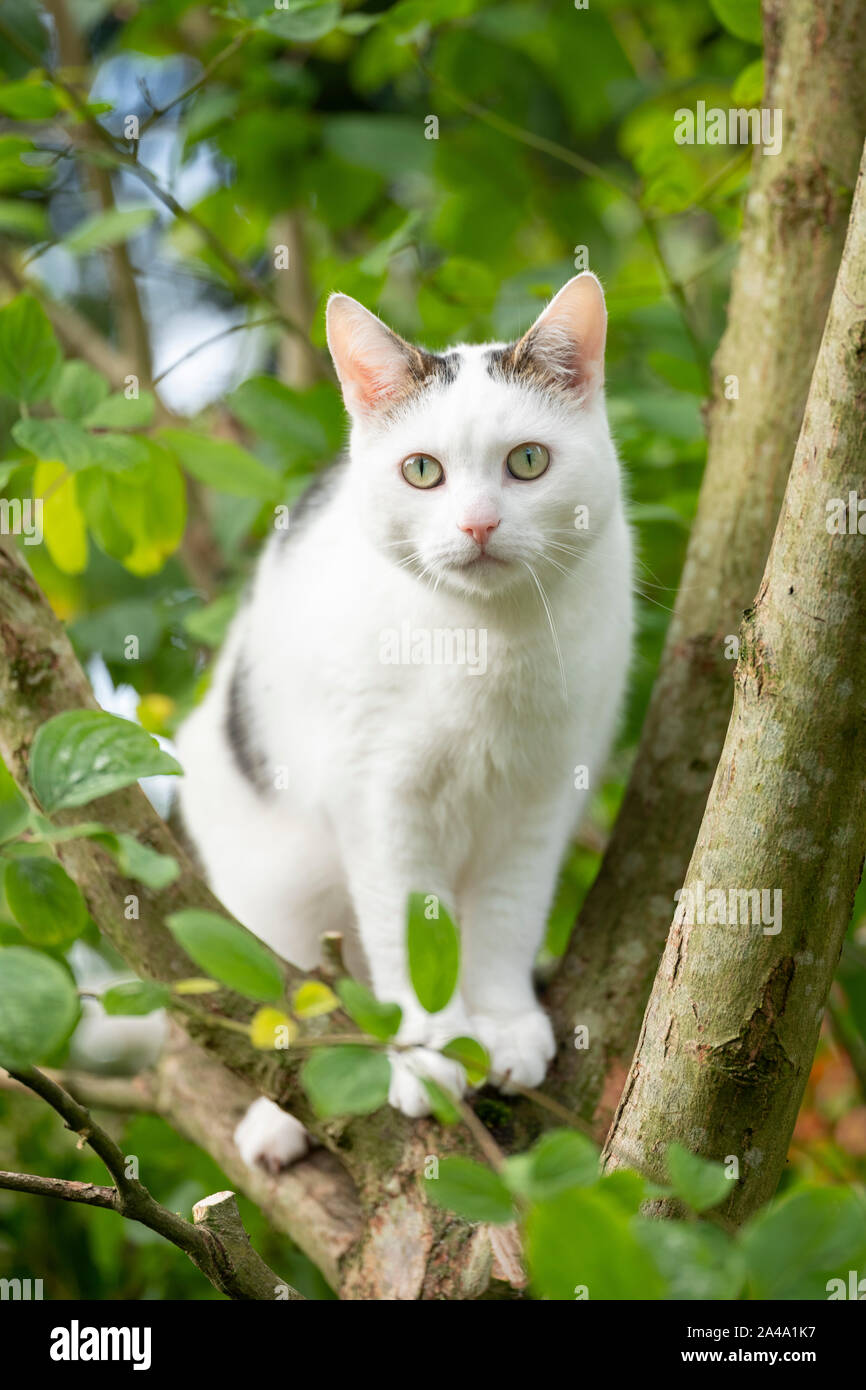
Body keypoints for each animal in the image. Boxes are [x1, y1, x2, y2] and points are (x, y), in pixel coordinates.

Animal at [174, 265, 631, 1167]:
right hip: (272, 889)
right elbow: (405, 931)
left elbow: (505, 917)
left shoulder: (540, 798)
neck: (486, 645)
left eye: (529, 462)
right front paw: (428, 1051)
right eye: (422, 472)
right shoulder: (381, 802)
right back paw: (284, 1117)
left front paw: (502, 1025)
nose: (478, 524)